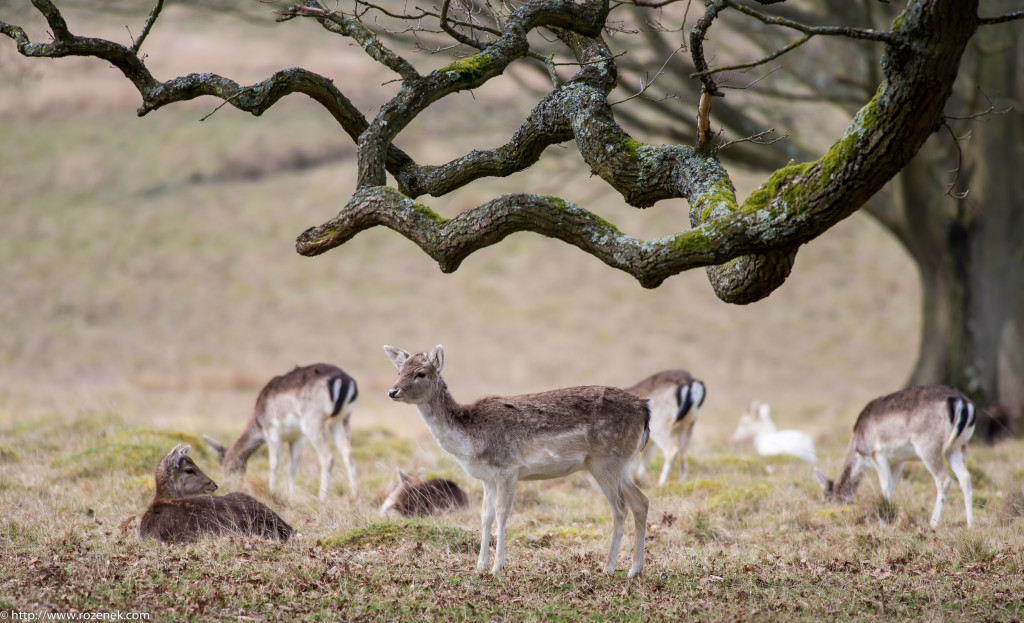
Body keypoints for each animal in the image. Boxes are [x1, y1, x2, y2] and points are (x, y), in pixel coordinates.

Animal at [201, 364, 358, 502]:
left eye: (224, 465)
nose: (227, 485)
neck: (258, 421)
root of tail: (345, 380)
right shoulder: (298, 437)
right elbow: (292, 466)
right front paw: (291, 495)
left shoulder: (271, 430)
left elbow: (274, 463)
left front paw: (271, 491)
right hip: (342, 420)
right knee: (348, 453)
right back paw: (353, 495)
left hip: (313, 420)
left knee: (328, 457)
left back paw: (322, 497)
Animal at [380, 342, 651, 577]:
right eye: (399, 370)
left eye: (421, 373)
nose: (392, 391)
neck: (469, 440)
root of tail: (645, 408)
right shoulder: (487, 478)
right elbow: (485, 515)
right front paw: (480, 566)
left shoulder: (508, 469)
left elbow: (502, 513)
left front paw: (497, 567)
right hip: (618, 464)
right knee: (641, 501)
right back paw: (635, 569)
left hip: (605, 461)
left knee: (620, 508)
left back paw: (609, 568)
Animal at [815, 387, 974, 528]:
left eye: (827, 497)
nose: (826, 511)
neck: (859, 449)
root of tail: (962, 401)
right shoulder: (898, 460)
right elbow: (892, 486)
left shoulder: (877, 453)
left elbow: (885, 487)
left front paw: (884, 519)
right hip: (958, 447)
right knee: (965, 477)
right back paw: (970, 525)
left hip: (929, 445)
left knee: (944, 480)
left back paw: (933, 523)